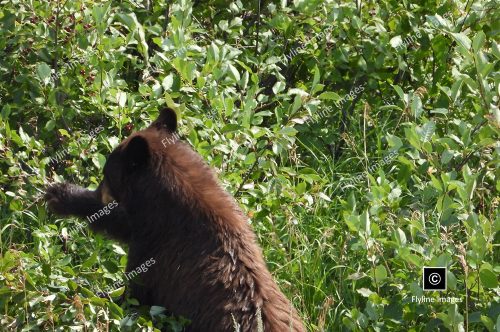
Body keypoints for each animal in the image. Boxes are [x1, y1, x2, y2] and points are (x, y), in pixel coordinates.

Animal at [46, 107, 304, 330]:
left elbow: (134, 298)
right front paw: (62, 194)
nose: (100, 192)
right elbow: (122, 225)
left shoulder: (155, 251)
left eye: (106, 174)